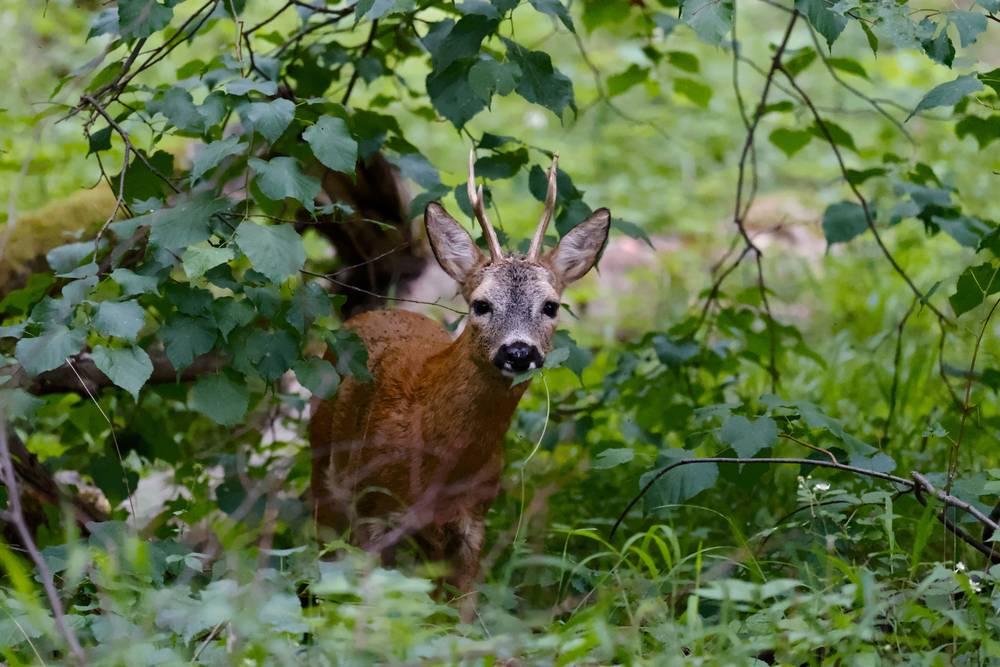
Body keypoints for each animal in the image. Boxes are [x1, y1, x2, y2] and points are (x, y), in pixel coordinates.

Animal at [308, 150, 610, 614]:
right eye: (481, 304)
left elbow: (463, 611)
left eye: (551, 306)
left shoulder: (474, 517)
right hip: (322, 469)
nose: (518, 352)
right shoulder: (374, 508)